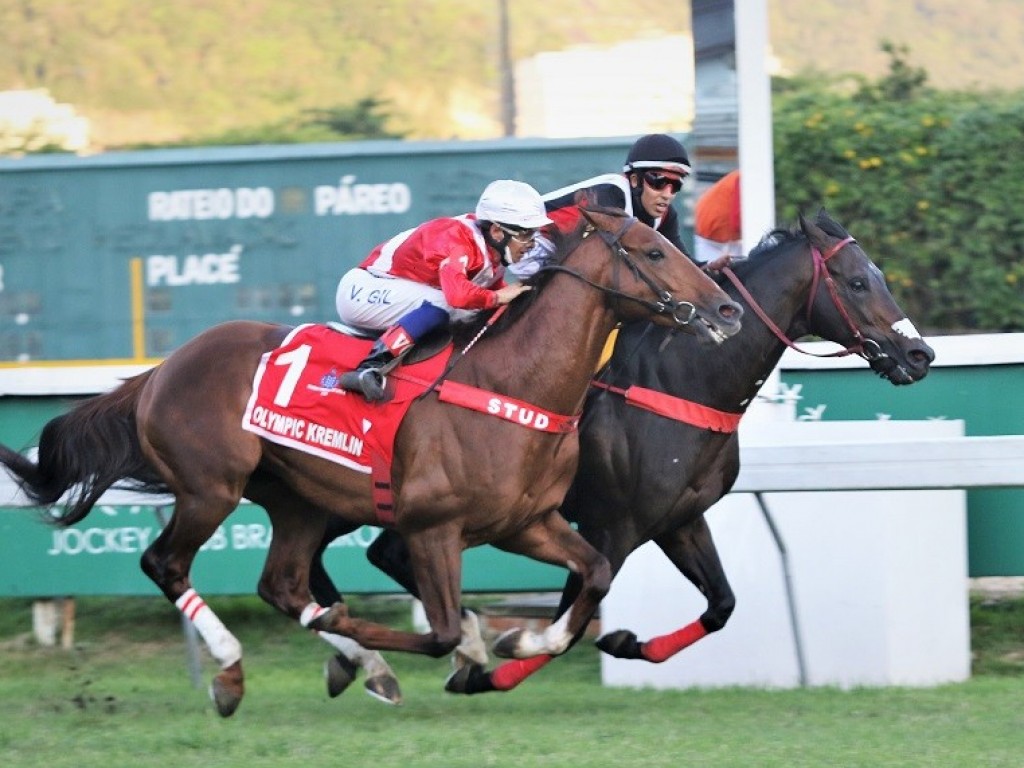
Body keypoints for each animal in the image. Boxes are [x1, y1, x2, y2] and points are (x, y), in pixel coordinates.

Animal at [0, 207, 741, 720]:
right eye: (654, 250)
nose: (727, 308)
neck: (514, 385)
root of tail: (159, 371)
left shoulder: (529, 523)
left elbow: (594, 575)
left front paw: (515, 645)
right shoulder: (434, 530)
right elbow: (442, 631)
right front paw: (474, 647)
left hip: (297, 500)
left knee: (282, 585)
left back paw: (358, 661)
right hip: (210, 488)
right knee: (166, 564)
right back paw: (236, 670)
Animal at [311, 208, 937, 696]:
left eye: (877, 276)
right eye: (856, 283)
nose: (919, 354)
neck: (680, 379)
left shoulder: (678, 519)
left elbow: (721, 605)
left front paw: (623, 640)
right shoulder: (612, 525)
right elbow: (573, 617)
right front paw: (495, 666)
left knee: (371, 556)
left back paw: (372, 657)